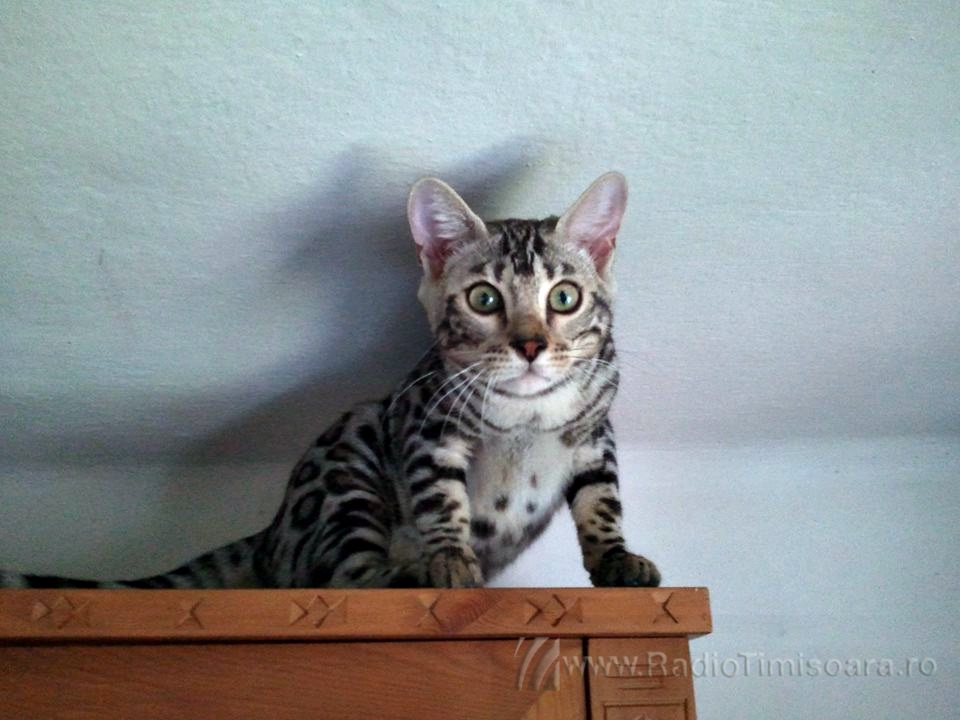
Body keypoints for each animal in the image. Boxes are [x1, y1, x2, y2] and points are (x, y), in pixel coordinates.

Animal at [0, 172, 660, 590]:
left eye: (565, 297)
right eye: (484, 298)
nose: (529, 345)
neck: (527, 416)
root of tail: (269, 534)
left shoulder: (597, 435)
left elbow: (602, 502)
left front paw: (618, 558)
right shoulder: (424, 425)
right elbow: (440, 501)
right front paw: (450, 558)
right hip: (347, 467)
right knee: (349, 574)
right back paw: (410, 573)